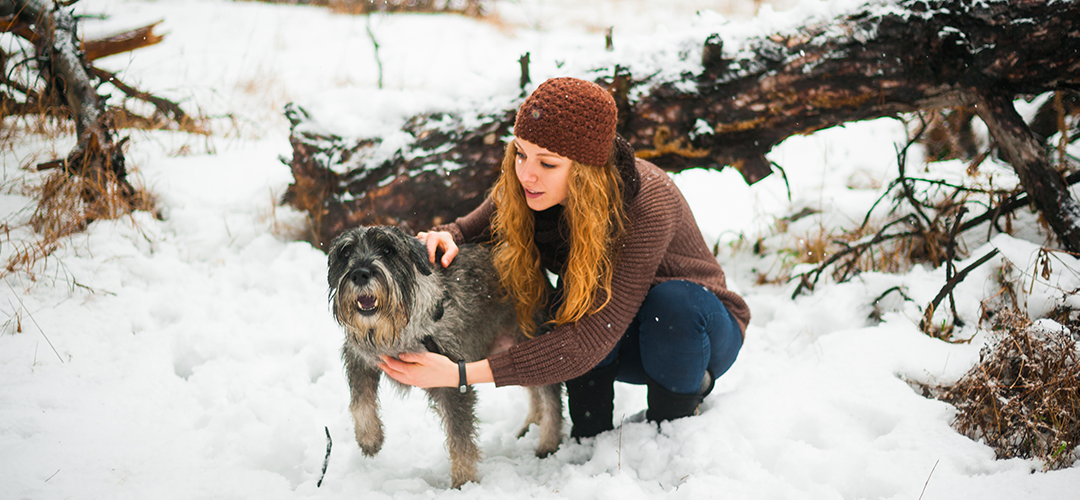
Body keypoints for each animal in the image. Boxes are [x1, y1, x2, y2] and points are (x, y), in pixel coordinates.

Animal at [326, 224, 565, 488]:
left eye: (388, 250)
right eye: (346, 252)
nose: (360, 274)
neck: (399, 328)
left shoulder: (453, 381)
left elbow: (460, 439)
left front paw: (464, 483)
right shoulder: (359, 357)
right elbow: (359, 401)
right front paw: (370, 438)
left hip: (532, 339)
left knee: (550, 393)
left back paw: (548, 441)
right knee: (531, 383)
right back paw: (533, 422)